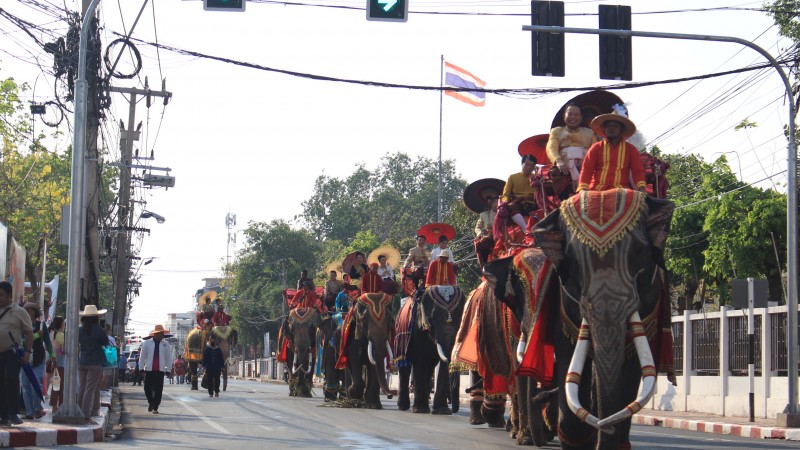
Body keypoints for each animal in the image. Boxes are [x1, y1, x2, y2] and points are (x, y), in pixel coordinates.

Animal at [396, 286, 466, 414]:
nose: (454, 410)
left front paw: (442, 411)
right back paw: (403, 407)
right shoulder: (417, 330)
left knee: (429, 368)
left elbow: (442, 363)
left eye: (461, 318)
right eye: (433, 318)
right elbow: (420, 360)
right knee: (405, 365)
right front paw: (420, 410)